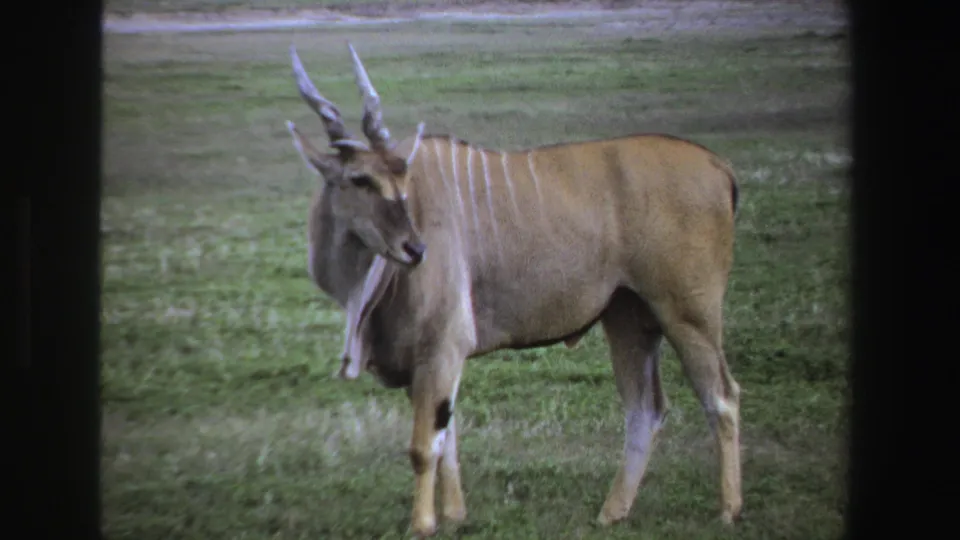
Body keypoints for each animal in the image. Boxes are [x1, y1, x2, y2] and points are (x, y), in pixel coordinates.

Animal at [285, 42, 743, 537]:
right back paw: (611, 513)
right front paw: (455, 515)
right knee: (646, 409)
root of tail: (719, 166)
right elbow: (446, 439)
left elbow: (425, 448)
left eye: (402, 179)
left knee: (722, 397)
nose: (415, 248)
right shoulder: (429, 361)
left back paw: (728, 510)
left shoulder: (440, 349)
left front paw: (423, 524)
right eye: (359, 180)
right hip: (628, 317)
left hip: (686, 314)